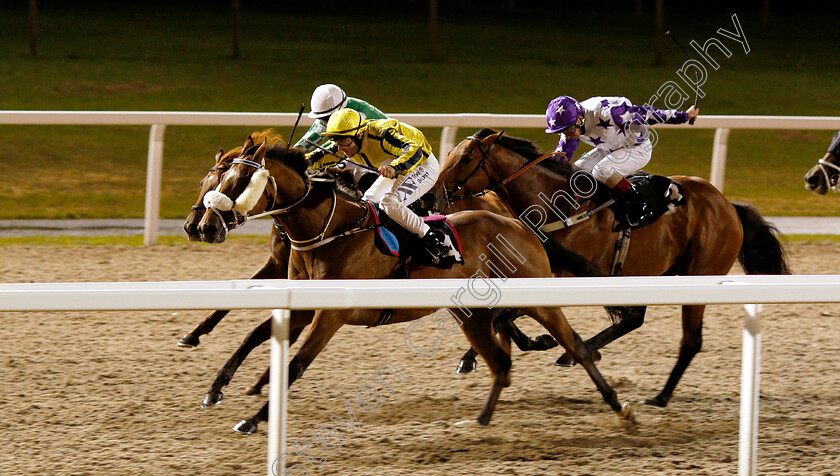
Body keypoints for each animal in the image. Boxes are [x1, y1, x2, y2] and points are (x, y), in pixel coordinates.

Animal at [197, 139, 632, 436]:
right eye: (211, 180)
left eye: (239, 180)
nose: (204, 226)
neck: (328, 229)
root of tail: (520, 224)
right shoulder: (303, 303)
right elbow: (256, 335)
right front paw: (218, 387)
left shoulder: (332, 312)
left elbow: (295, 365)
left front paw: (253, 418)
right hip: (471, 314)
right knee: (502, 361)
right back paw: (482, 420)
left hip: (537, 298)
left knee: (573, 346)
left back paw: (619, 405)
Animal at [434, 128, 788, 408]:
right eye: (450, 153)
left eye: (465, 158)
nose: (435, 194)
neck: (558, 204)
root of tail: (728, 204)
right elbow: (500, 313)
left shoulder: (566, 276)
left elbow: (503, 316)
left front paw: (519, 346)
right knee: (635, 317)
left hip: (699, 275)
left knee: (690, 340)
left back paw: (660, 396)